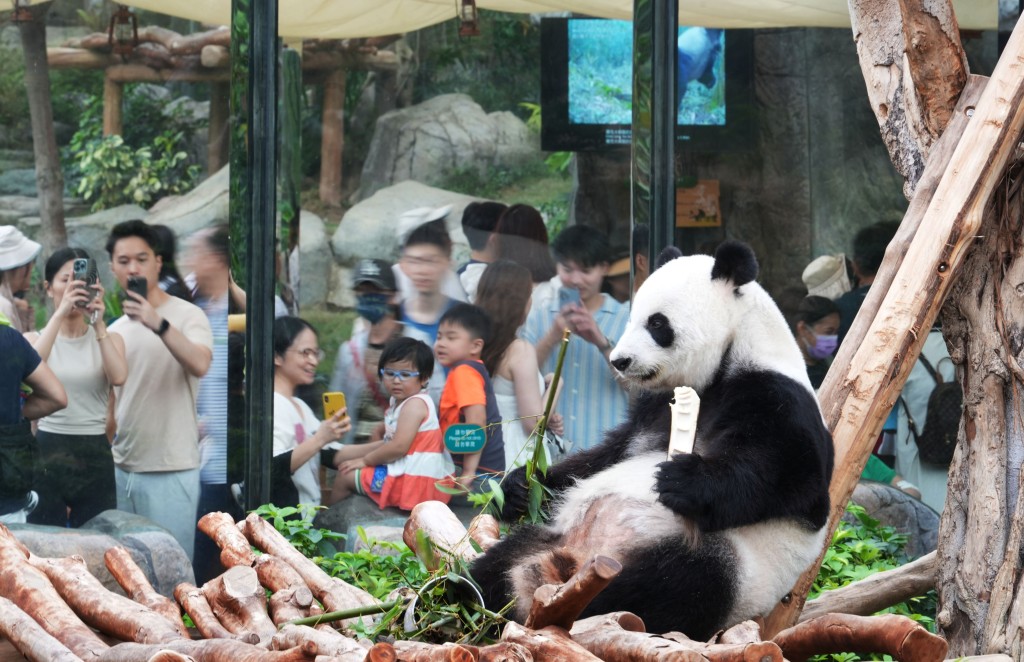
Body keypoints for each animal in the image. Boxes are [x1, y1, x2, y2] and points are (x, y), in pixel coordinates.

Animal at [468, 240, 831, 639]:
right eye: (631, 318)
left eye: (657, 324)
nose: (620, 361)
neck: (731, 353)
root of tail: (577, 557)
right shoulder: (653, 409)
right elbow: (608, 454)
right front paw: (520, 485)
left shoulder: (776, 397)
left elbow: (793, 480)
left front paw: (684, 480)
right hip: (550, 537)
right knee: (493, 568)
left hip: (728, 567)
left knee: (669, 584)